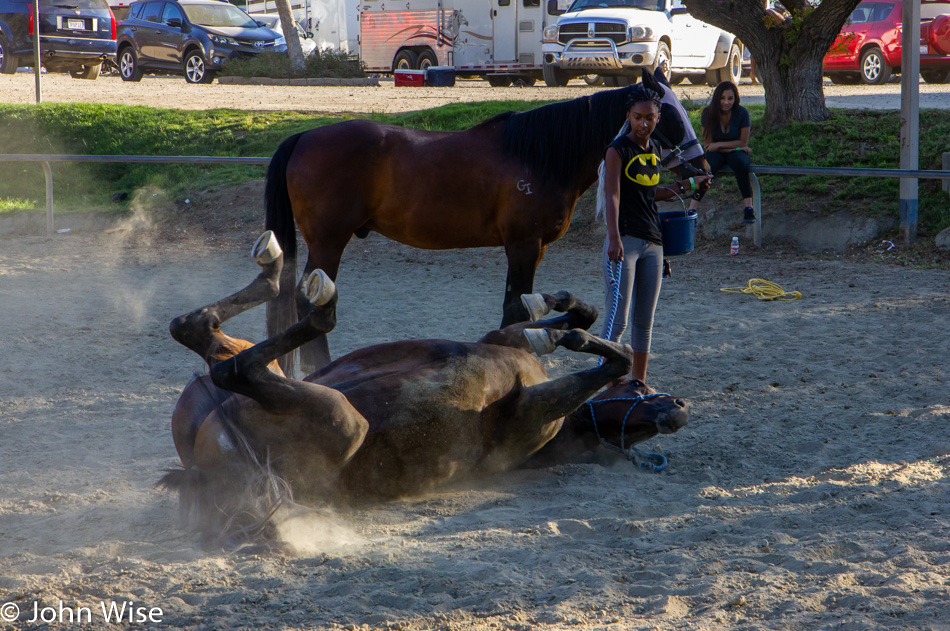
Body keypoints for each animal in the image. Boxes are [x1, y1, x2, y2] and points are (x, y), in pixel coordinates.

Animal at [264, 84, 644, 370]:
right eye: (652, 114)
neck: (537, 157)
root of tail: (305, 136)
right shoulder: (523, 245)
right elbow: (517, 306)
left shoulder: (536, 248)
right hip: (328, 243)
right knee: (308, 300)